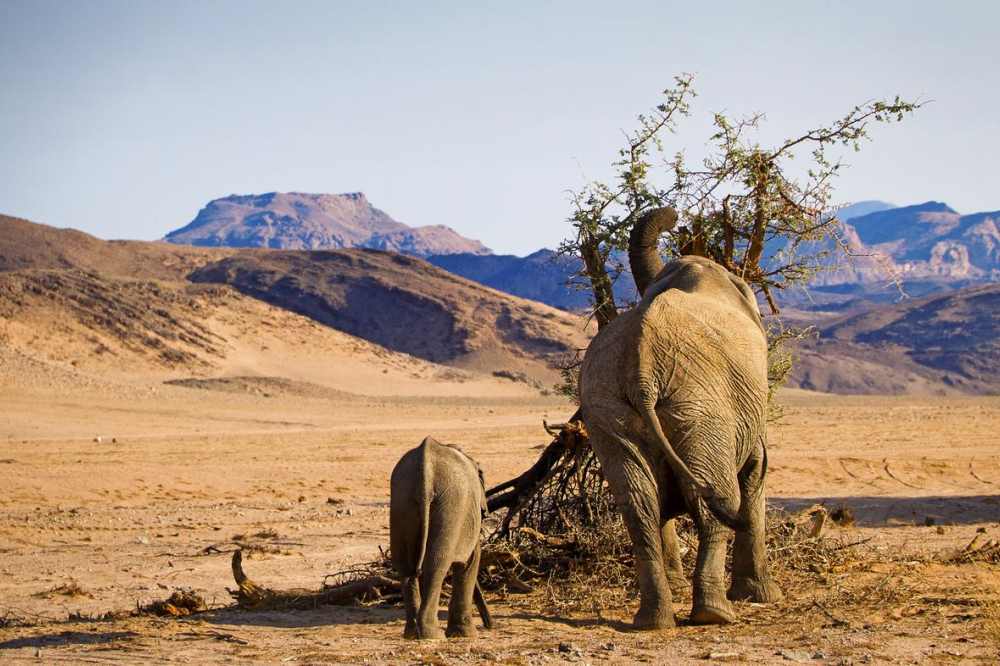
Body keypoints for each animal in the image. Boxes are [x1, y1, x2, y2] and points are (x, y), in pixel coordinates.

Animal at [394, 436, 496, 640]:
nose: (489, 625)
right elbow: (471, 559)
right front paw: (466, 634)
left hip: (402, 500)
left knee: (406, 565)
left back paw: (413, 633)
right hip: (452, 503)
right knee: (437, 562)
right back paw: (431, 634)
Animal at [580, 205, 780, 624]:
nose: (673, 217)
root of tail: (641, 370)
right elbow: (756, 469)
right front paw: (761, 597)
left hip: (608, 409)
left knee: (639, 504)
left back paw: (653, 620)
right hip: (701, 408)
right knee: (714, 500)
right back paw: (713, 614)